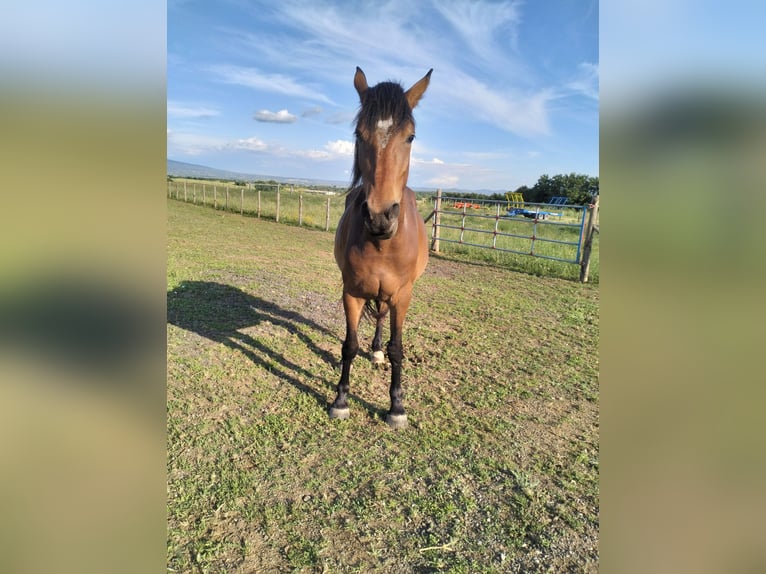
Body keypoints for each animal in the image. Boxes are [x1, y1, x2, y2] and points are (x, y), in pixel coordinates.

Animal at [330, 66, 432, 429]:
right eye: (359, 134)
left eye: (411, 137)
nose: (379, 216)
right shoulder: (351, 291)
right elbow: (348, 345)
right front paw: (341, 400)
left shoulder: (403, 295)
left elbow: (397, 348)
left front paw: (397, 407)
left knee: (382, 318)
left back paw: (376, 352)